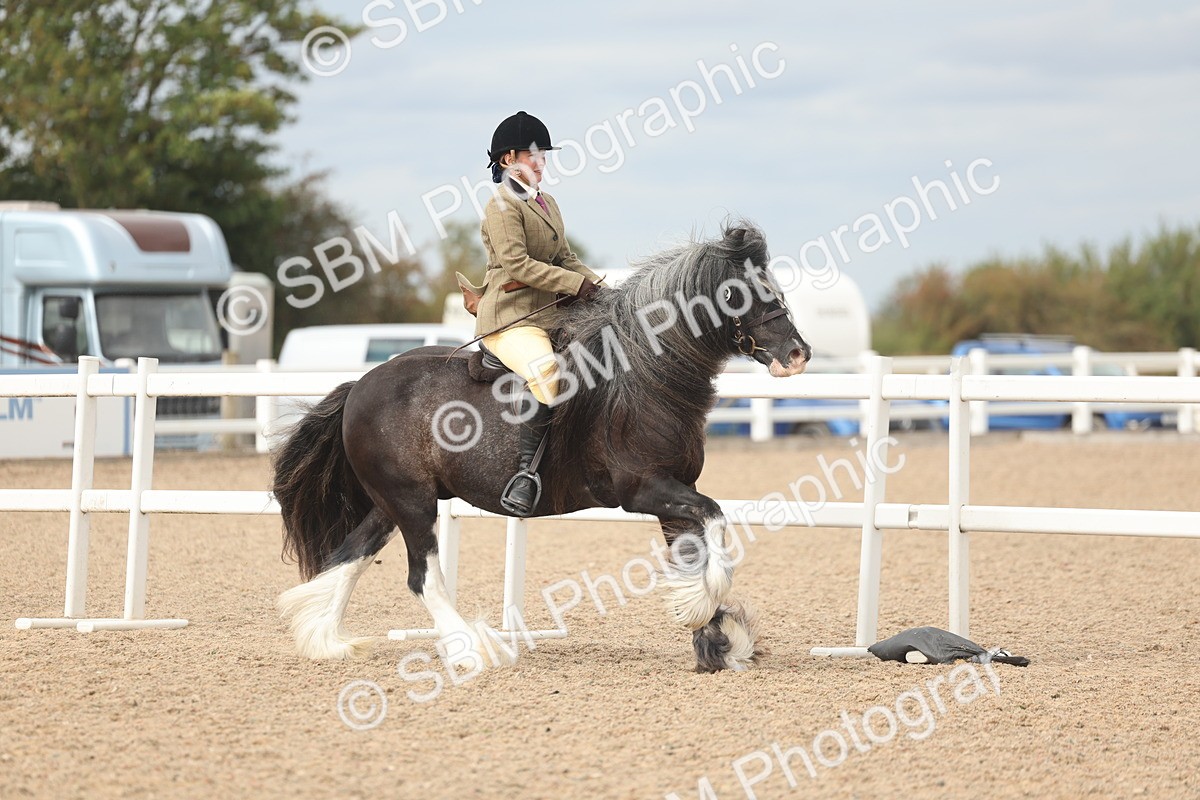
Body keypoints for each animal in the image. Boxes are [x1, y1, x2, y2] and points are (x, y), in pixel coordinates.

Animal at [274, 220, 812, 672]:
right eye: (740, 292)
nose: (798, 354)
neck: (643, 377)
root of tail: (359, 386)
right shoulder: (642, 489)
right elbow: (715, 522)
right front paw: (702, 613)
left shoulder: (675, 487)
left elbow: (691, 549)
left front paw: (713, 640)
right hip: (412, 502)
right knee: (421, 576)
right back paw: (473, 650)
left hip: (393, 502)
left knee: (351, 554)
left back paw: (326, 640)